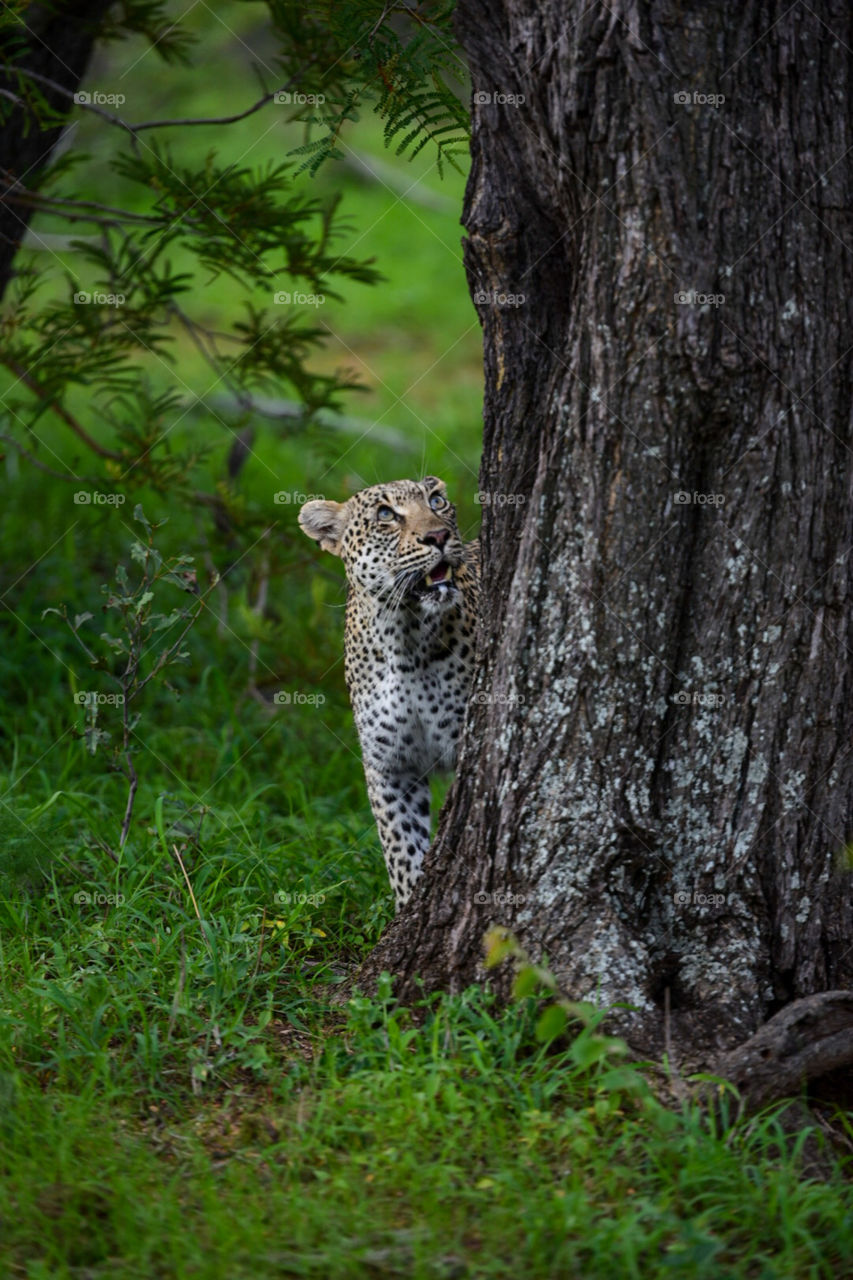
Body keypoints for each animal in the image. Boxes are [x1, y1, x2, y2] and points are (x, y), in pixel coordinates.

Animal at [298, 476, 479, 906]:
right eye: (385, 514)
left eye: (437, 501)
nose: (438, 536)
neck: (406, 638)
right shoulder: (391, 767)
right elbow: (401, 851)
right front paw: (408, 905)